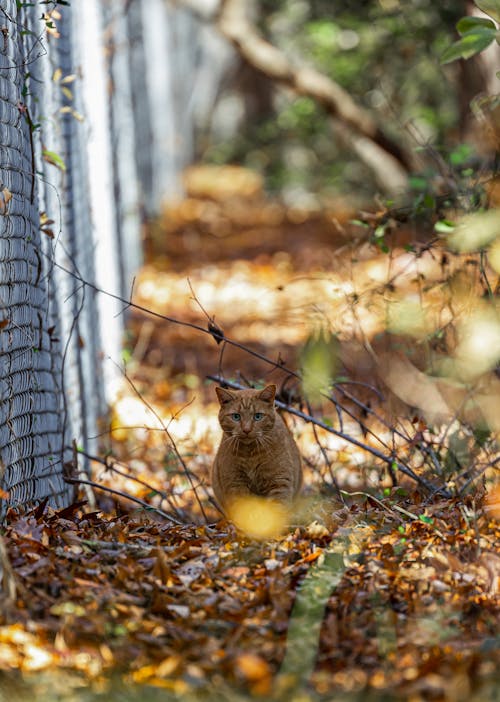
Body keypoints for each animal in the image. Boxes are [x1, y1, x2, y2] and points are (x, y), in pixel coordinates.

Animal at [210, 384, 302, 516]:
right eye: (236, 417)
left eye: (258, 416)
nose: (246, 430)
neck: (250, 455)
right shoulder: (235, 483)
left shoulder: (279, 482)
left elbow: (276, 512)